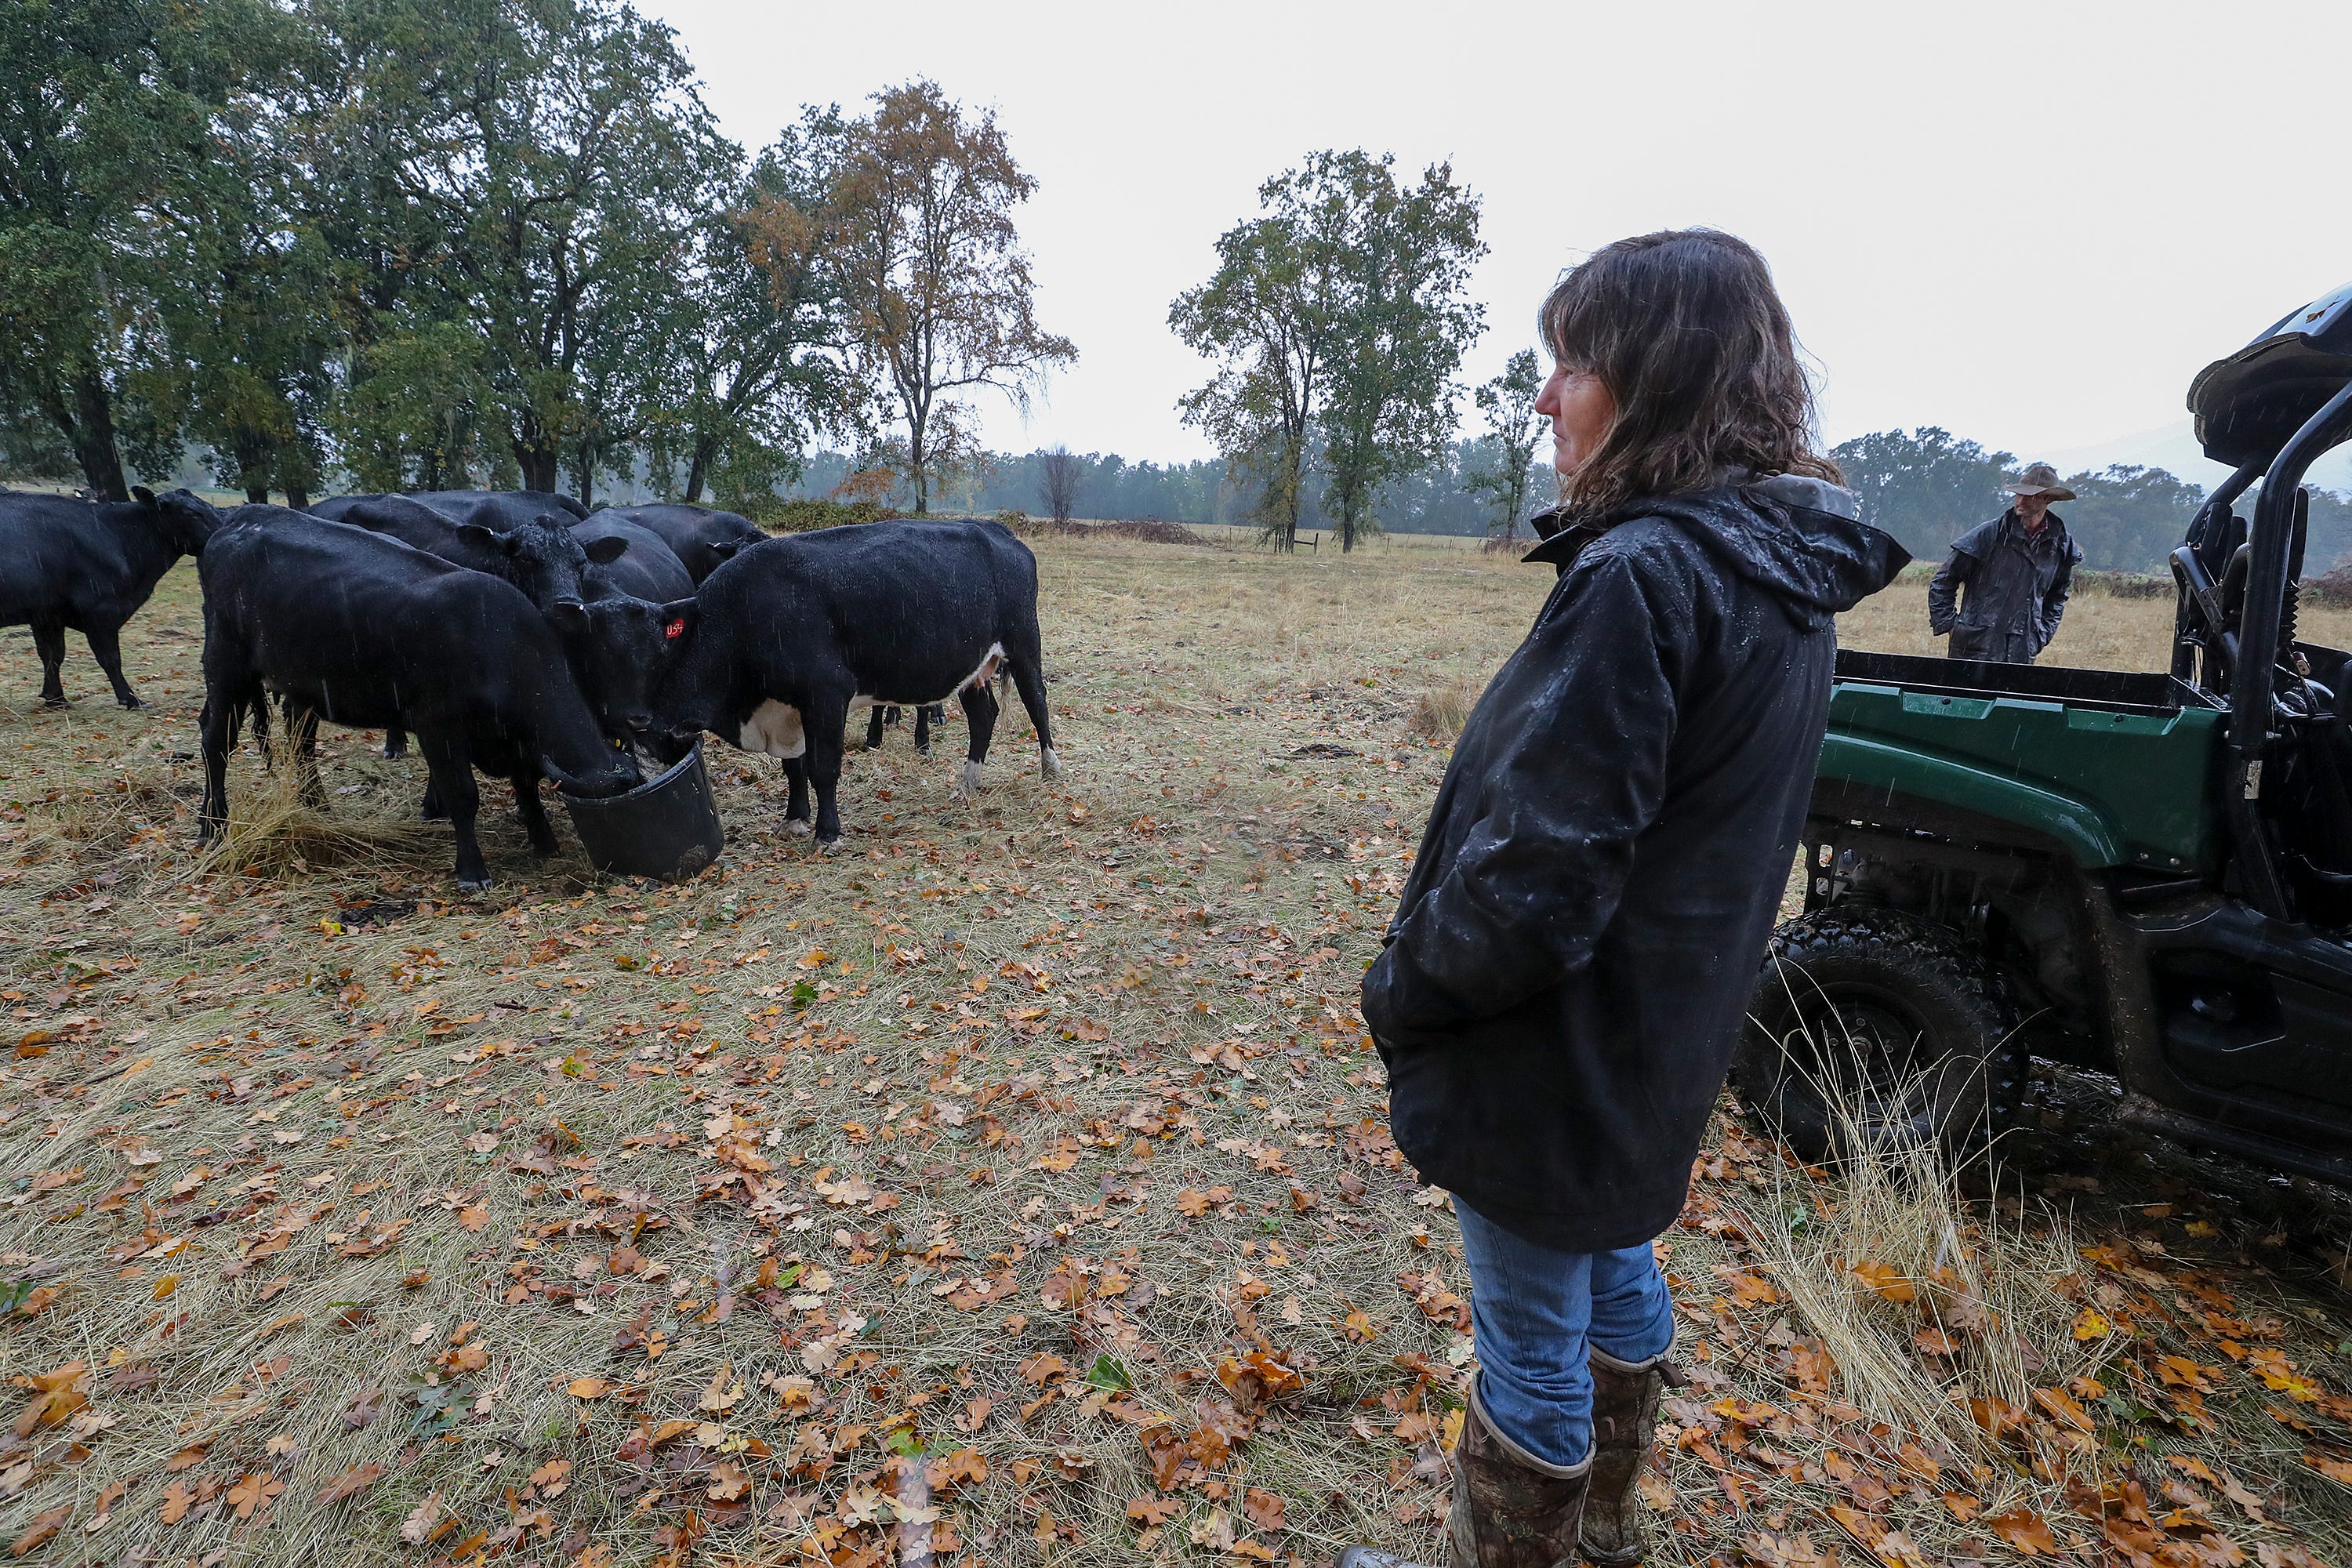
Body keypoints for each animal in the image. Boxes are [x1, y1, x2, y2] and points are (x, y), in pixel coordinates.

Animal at [0, 486, 221, 710]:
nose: (223, 530)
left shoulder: (47, 615)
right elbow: (111, 659)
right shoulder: (101, 612)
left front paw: (56, 698)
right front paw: (131, 699)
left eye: (209, 507)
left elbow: (52, 655)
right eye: (191, 514)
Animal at [198, 510, 644, 888]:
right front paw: (472, 869)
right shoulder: (436, 725)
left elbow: (526, 782)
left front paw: (543, 839)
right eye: (527, 559)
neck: (494, 640)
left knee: (298, 736)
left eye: (581, 563)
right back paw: (212, 827)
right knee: (216, 739)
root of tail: (239, 520)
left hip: (300, 682)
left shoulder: (514, 737)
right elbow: (462, 794)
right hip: (225, 664)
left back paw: (314, 805)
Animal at [663, 517, 1068, 846]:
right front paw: (794, 820)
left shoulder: (826, 692)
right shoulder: (791, 707)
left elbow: (823, 766)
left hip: (1024, 643)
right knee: (983, 717)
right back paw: (967, 784)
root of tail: (996, 530)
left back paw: (1051, 768)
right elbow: (794, 766)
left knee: (1037, 703)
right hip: (971, 667)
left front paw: (827, 834)